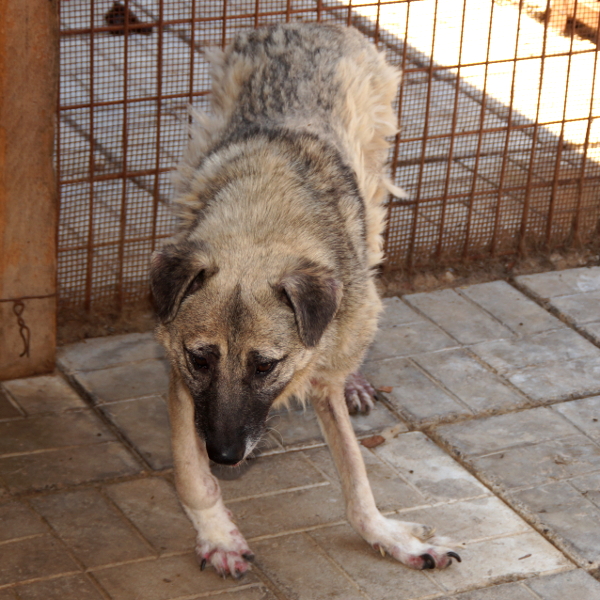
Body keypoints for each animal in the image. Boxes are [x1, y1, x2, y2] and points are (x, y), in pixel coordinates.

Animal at [150, 22, 460, 576]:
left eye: (265, 365)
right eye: (200, 359)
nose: (225, 456)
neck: (262, 222)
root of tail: (313, 24)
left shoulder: (322, 374)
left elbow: (356, 479)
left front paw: (389, 536)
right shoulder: (179, 378)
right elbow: (188, 472)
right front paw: (218, 535)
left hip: (374, 205)